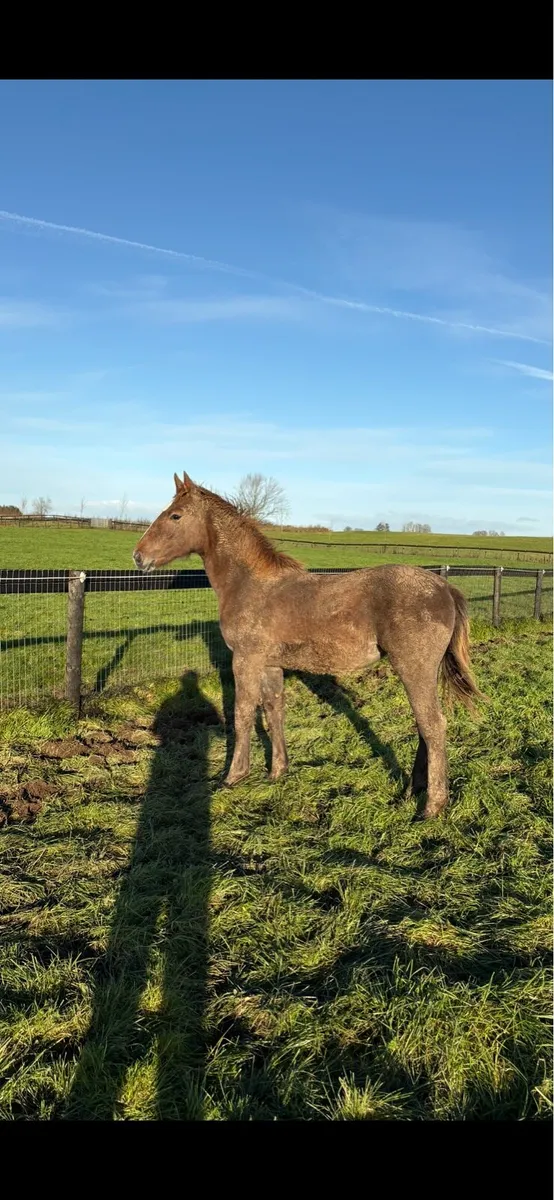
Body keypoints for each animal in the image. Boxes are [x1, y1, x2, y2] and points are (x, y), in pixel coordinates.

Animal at [133, 472, 483, 818]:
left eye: (175, 515)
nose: (138, 556)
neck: (249, 585)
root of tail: (445, 587)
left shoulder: (246, 660)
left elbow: (242, 713)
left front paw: (233, 776)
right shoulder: (270, 664)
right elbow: (274, 711)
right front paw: (277, 771)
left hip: (413, 667)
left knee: (433, 724)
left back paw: (432, 807)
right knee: (424, 726)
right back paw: (412, 791)